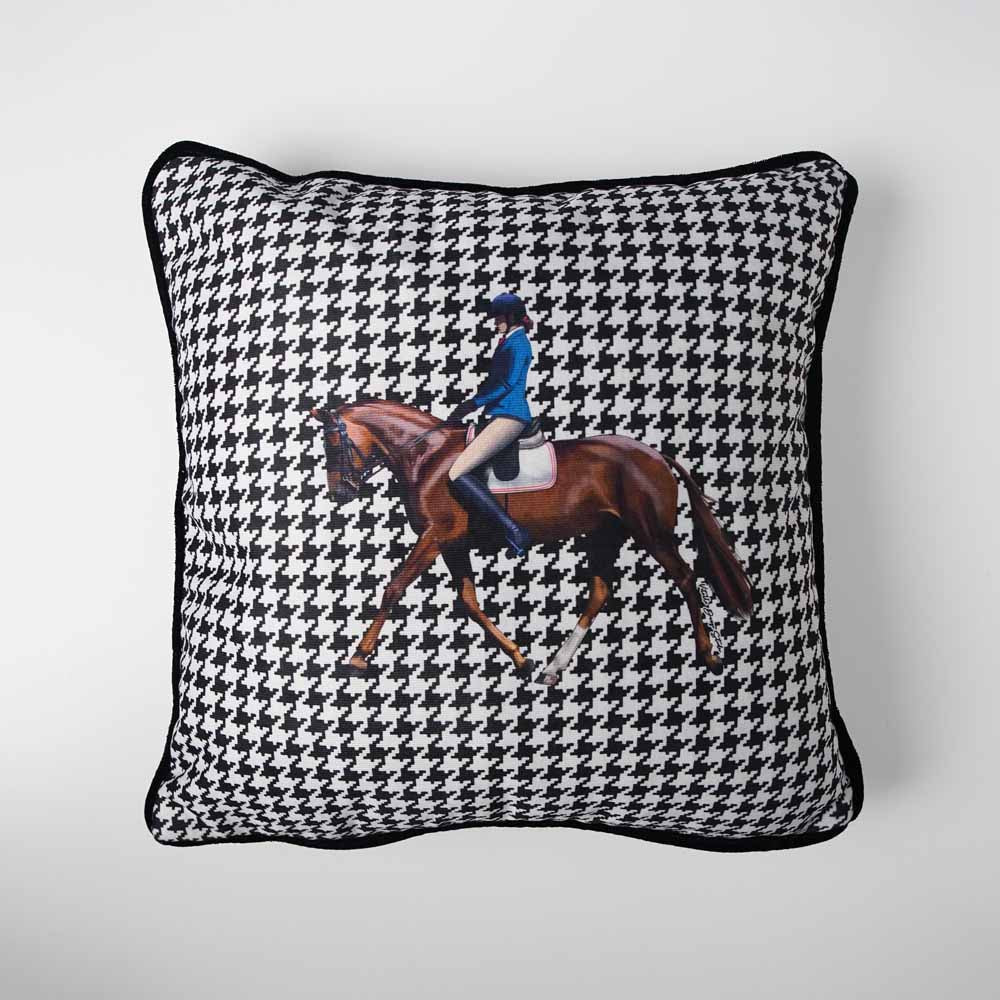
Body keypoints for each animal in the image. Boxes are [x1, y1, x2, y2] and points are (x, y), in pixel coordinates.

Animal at [309, 400, 752, 685]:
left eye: (333, 443)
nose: (340, 494)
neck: (427, 457)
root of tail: (657, 455)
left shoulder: (436, 536)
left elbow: (394, 587)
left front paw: (357, 657)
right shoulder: (453, 544)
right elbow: (469, 602)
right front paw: (520, 658)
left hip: (651, 533)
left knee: (686, 579)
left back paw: (708, 655)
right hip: (606, 534)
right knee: (600, 591)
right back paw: (551, 669)